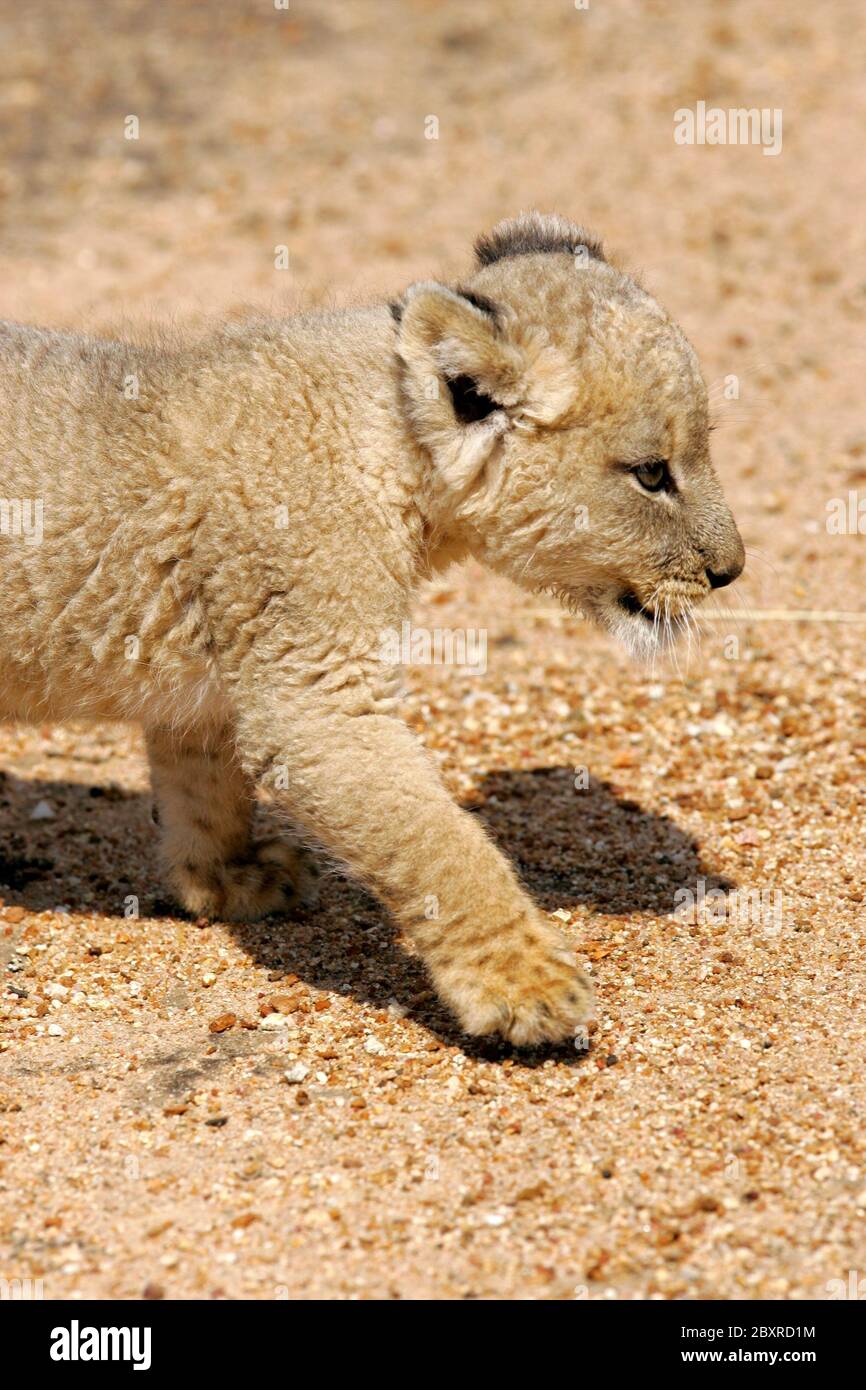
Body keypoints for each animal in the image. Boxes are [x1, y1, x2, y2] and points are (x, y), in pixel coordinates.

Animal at [0, 212, 743, 1045]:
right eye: (651, 473)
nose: (731, 571)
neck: (394, 445)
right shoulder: (319, 700)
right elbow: (438, 843)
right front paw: (526, 985)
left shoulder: (227, 675)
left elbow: (204, 787)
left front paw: (223, 881)